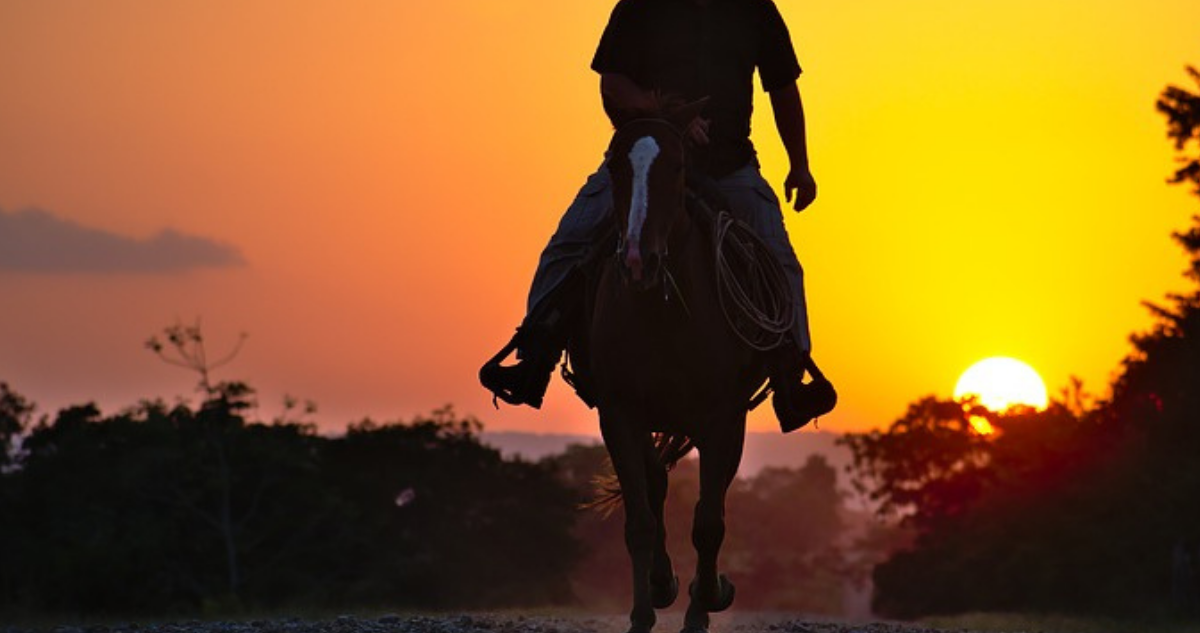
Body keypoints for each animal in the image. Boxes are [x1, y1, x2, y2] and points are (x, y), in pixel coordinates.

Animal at [587, 100, 773, 633]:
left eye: (676, 167)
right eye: (615, 166)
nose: (637, 261)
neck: (663, 308)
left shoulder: (722, 418)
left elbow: (708, 522)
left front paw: (704, 604)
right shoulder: (619, 414)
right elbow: (639, 520)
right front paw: (644, 610)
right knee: (657, 485)